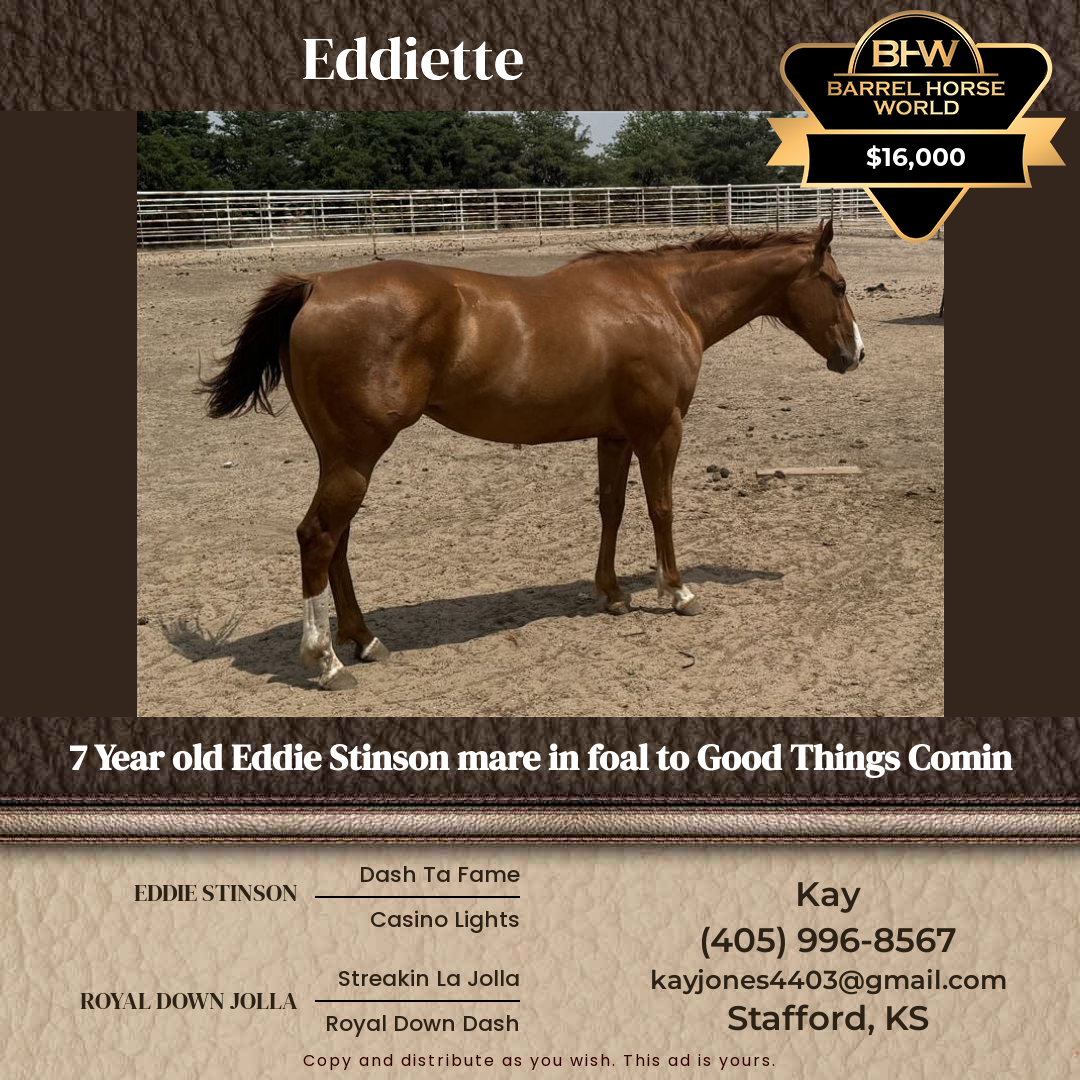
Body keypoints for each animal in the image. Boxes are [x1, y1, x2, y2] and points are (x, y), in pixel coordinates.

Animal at [203, 219, 865, 690]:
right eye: (838, 286)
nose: (855, 354)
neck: (665, 297)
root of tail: (316, 285)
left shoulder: (615, 434)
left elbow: (611, 508)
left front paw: (611, 594)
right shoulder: (660, 429)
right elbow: (661, 508)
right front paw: (676, 592)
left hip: (342, 459)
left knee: (337, 541)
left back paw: (363, 640)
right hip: (355, 458)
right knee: (318, 537)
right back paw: (326, 662)